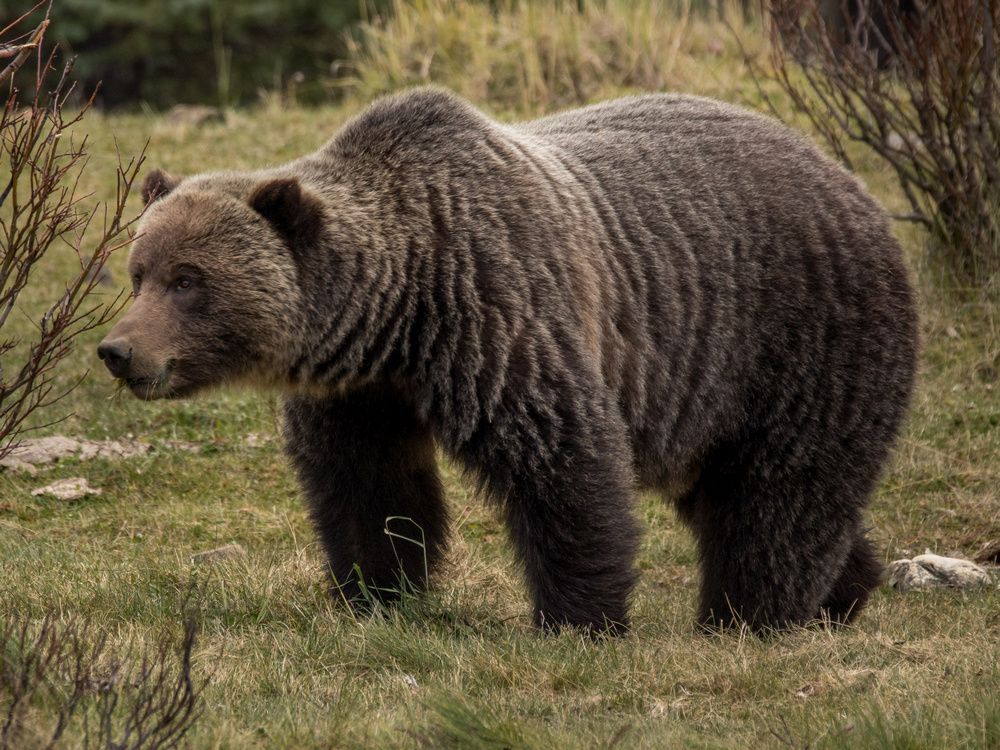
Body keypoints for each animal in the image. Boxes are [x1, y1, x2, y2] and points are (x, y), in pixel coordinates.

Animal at [97, 91, 916, 636]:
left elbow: (561, 462)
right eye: (137, 272)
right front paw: (372, 593)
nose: (118, 350)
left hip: (796, 338)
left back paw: (749, 616)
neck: (401, 309)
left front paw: (579, 618)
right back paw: (844, 590)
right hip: (709, 394)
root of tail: (848, 179)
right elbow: (368, 488)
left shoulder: (499, 315)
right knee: (735, 489)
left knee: (782, 489)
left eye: (188, 281)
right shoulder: (364, 392)